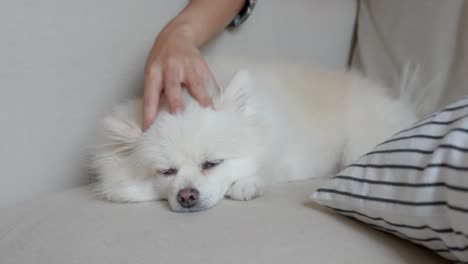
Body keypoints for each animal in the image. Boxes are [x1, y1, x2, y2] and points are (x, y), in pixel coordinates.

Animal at [91, 59, 416, 212]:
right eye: (167, 172)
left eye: (211, 164)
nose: (187, 196)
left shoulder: (280, 152)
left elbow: (264, 168)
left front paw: (247, 184)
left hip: (358, 144)